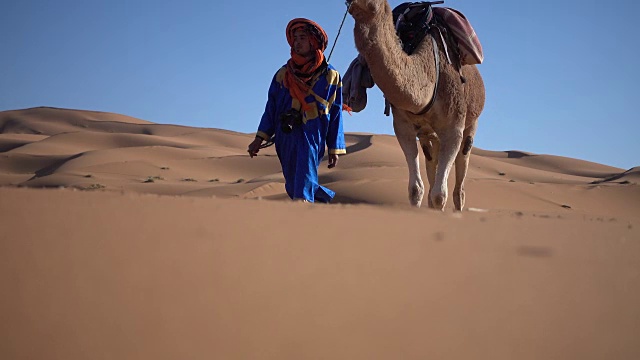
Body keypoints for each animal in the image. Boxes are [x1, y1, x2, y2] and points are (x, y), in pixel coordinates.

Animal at [350, 0, 484, 211]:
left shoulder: (454, 127)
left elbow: (440, 195)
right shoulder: (402, 125)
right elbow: (416, 189)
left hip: (471, 124)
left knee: (460, 183)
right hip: (429, 137)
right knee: (432, 161)